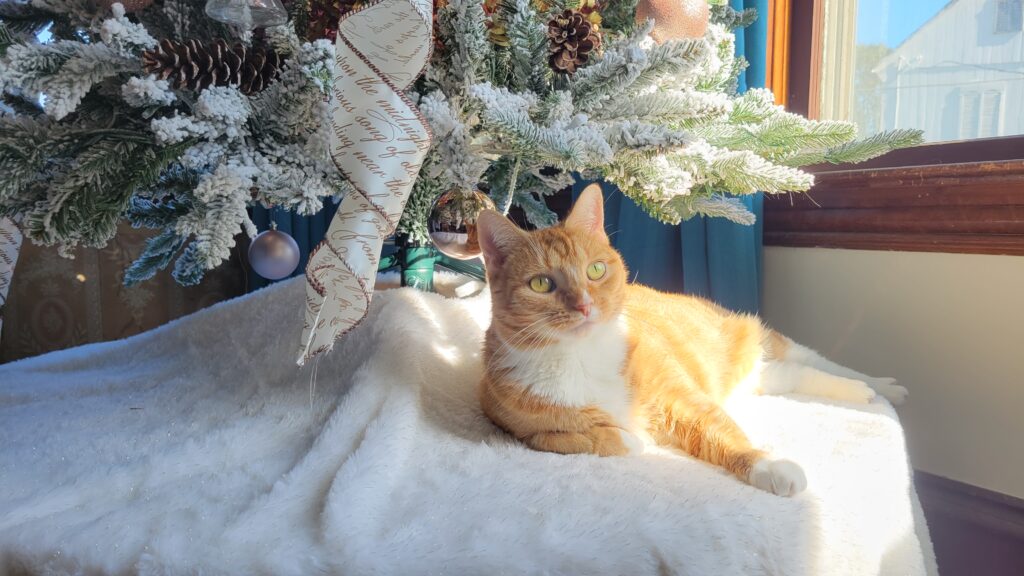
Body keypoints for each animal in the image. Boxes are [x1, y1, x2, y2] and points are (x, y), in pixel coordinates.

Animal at [475, 183, 909, 494]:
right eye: (541, 283)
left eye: (595, 270)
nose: (583, 305)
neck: (580, 357)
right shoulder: (519, 425)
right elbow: (572, 438)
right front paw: (628, 438)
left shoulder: (679, 396)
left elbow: (720, 430)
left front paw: (768, 465)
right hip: (762, 376)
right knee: (802, 375)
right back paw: (865, 392)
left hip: (760, 338)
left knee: (818, 361)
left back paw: (883, 387)